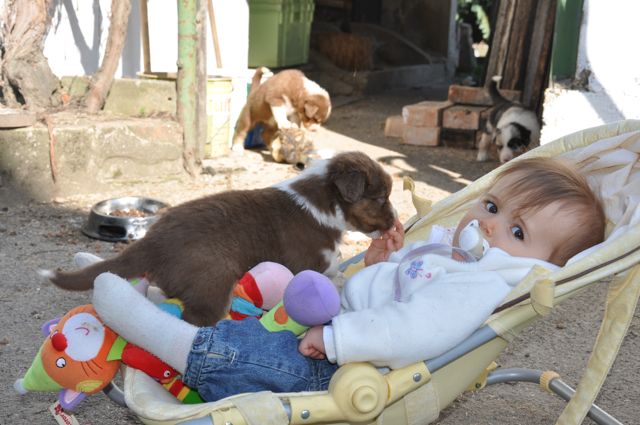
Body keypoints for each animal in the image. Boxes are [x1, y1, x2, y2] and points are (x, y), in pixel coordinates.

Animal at [43, 152, 396, 324]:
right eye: (381, 198)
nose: (394, 221)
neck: (321, 201)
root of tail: (152, 240)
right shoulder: (307, 262)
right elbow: (327, 272)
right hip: (214, 277)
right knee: (195, 319)